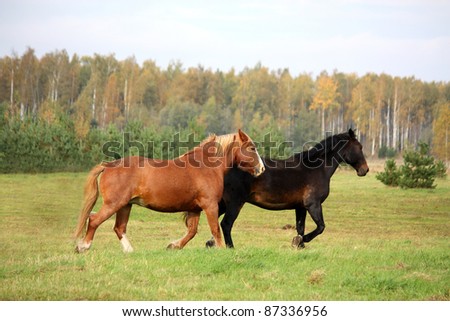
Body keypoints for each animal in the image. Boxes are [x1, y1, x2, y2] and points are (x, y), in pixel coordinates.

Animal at [73, 129, 264, 251]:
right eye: (252, 148)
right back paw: (83, 246)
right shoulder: (210, 206)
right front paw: (222, 249)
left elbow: (192, 232)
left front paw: (174, 246)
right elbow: (215, 229)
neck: (206, 167)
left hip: (126, 205)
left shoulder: (194, 209)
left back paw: (129, 250)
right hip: (114, 204)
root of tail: (109, 165)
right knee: (94, 220)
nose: (262, 169)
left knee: (119, 228)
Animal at [204, 128, 370, 248]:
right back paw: (230, 247)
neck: (317, 168)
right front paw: (301, 241)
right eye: (359, 147)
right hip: (234, 203)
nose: (365, 170)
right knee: (226, 224)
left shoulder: (301, 207)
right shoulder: (313, 204)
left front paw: (299, 244)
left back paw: (211, 242)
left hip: (224, 203)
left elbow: (300, 227)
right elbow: (321, 227)